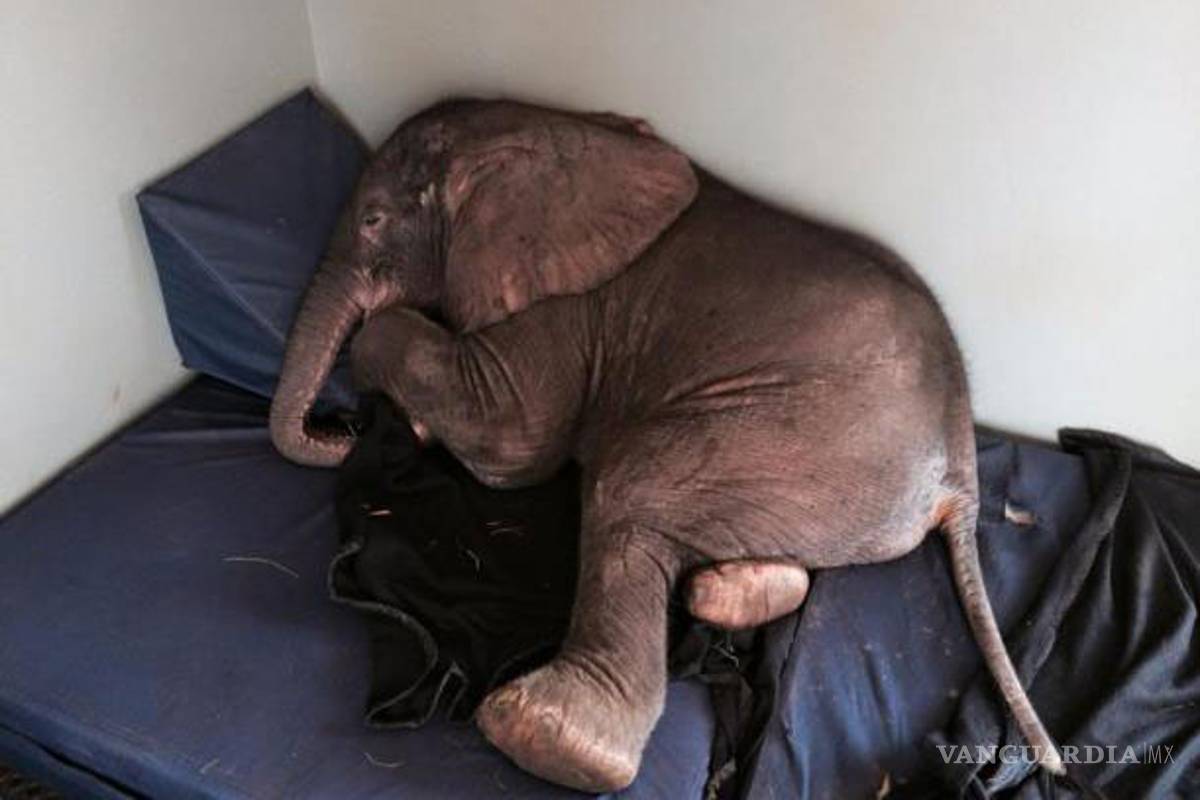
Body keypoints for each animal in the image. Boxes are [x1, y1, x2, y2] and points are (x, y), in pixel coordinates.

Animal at [270, 99, 1062, 791]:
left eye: (373, 221)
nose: (340, 428)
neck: (537, 127)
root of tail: (961, 471)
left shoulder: (563, 307)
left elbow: (512, 437)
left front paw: (409, 411)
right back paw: (724, 595)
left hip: (801, 440)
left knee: (630, 484)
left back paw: (546, 737)